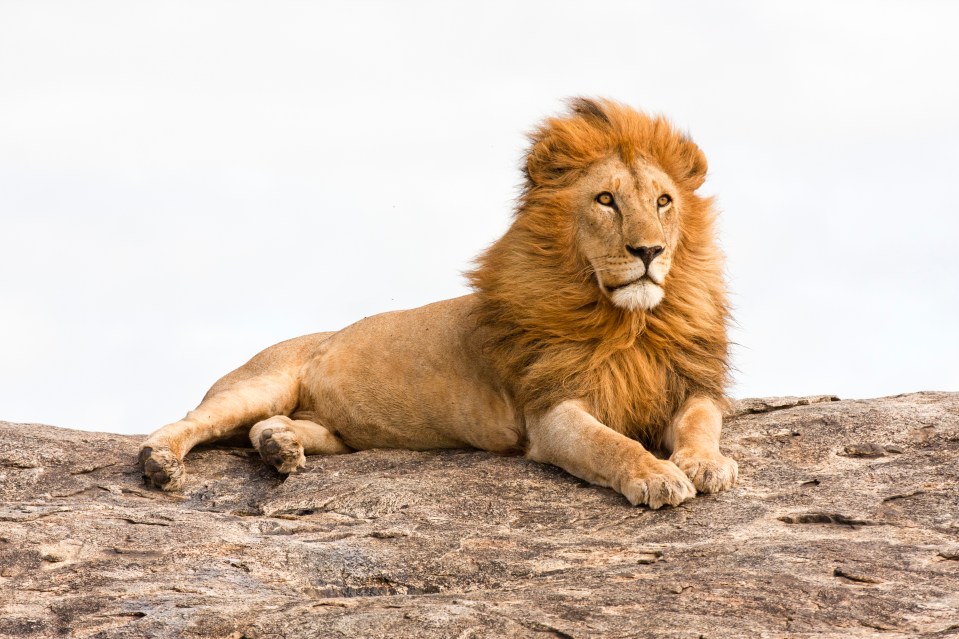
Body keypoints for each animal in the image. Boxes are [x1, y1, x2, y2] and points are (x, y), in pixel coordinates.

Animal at [139, 99, 740, 510]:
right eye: (606, 200)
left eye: (663, 201)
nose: (649, 251)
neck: (629, 323)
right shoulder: (551, 411)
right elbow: (610, 443)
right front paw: (656, 475)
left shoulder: (687, 384)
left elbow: (701, 422)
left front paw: (705, 464)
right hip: (259, 381)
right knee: (191, 420)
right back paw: (159, 463)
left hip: (336, 433)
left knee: (278, 426)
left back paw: (279, 447)